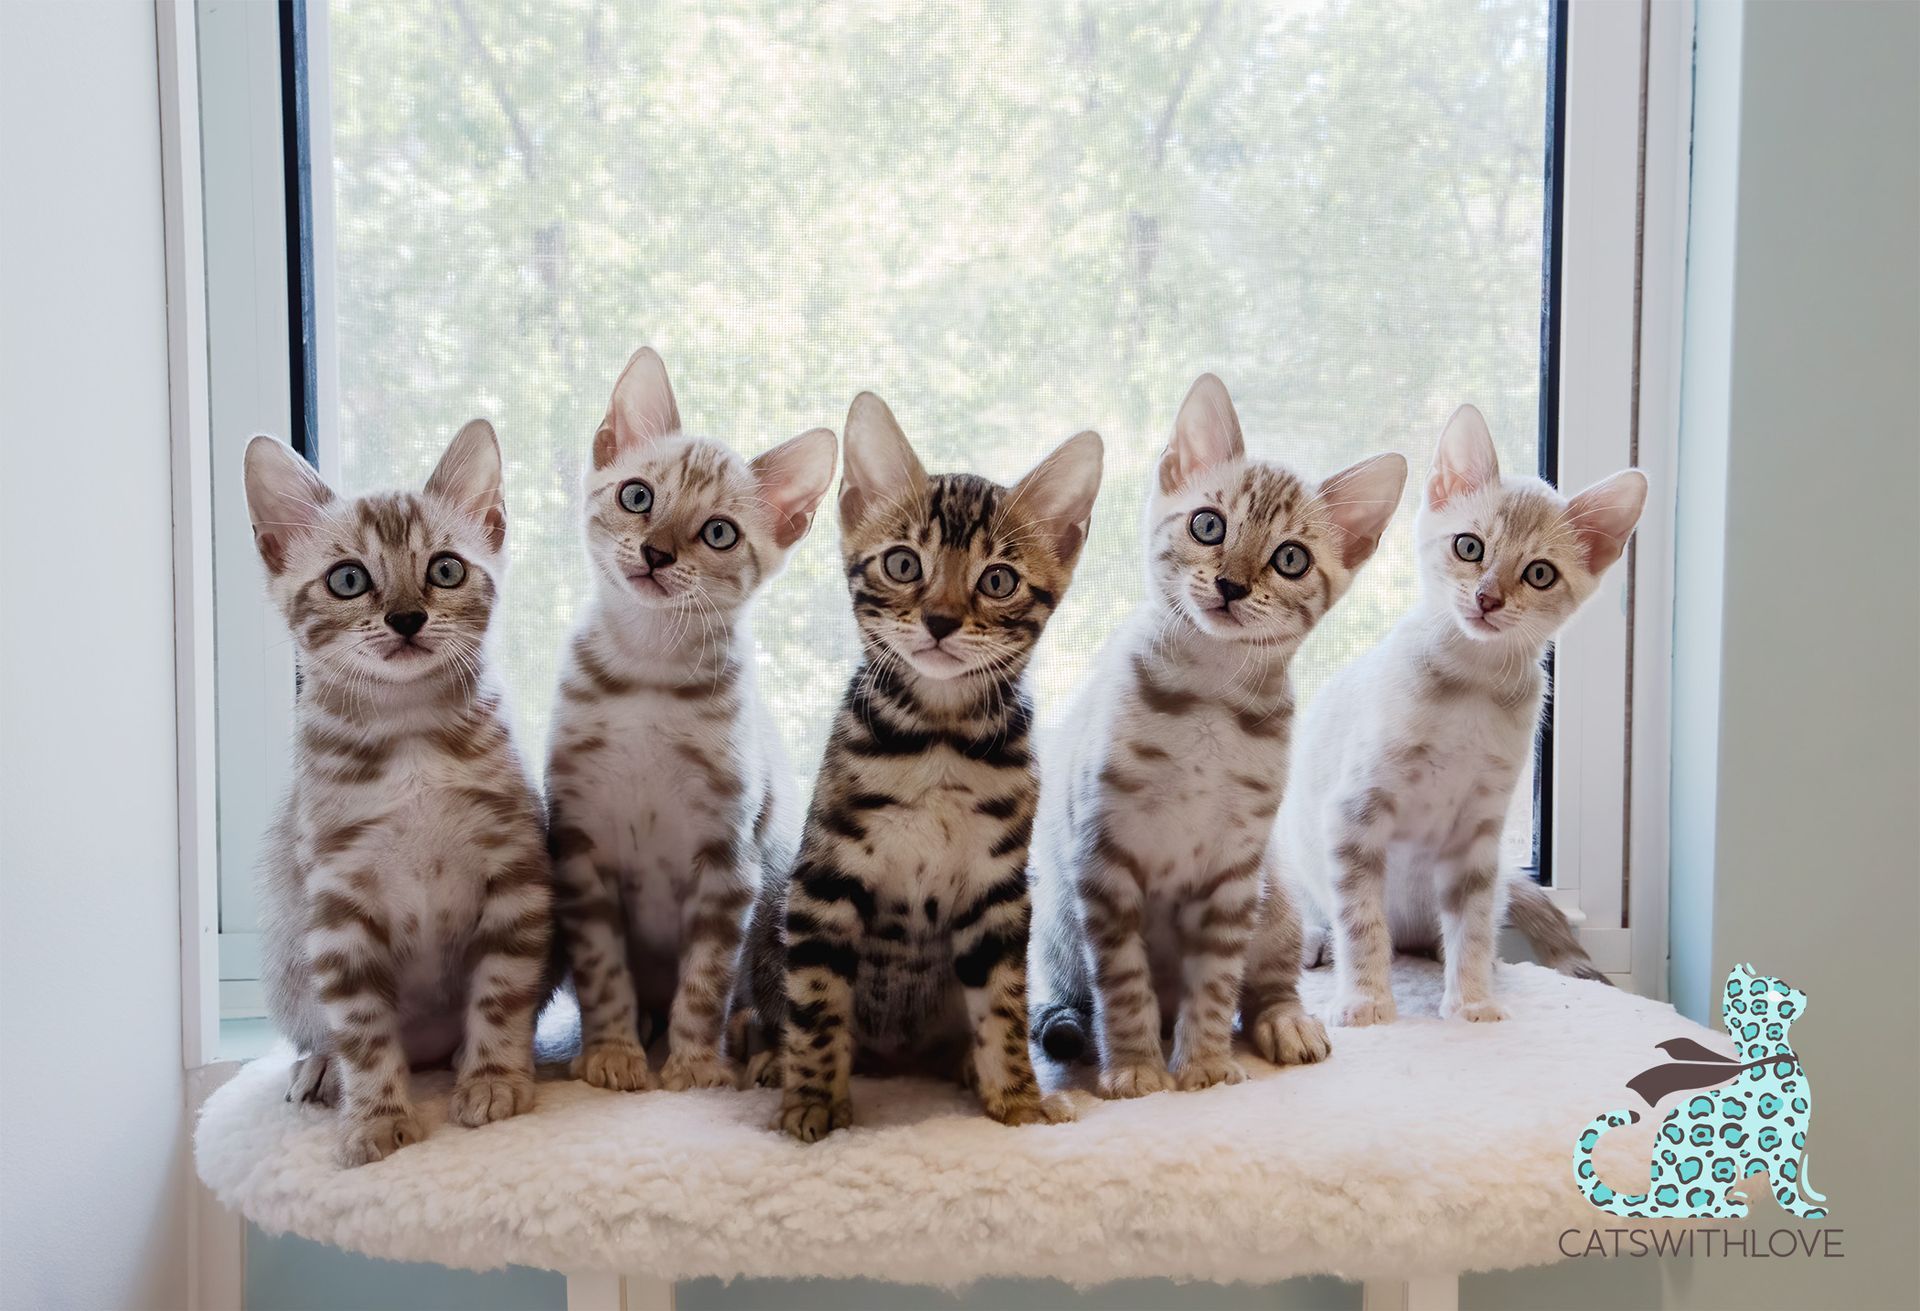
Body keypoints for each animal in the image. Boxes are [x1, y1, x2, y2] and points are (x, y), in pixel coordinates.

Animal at [243, 422, 552, 1167]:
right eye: (348, 579)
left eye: (446, 569)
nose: (407, 617)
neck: (409, 731)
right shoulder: (338, 902)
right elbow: (362, 1028)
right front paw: (377, 1118)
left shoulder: (515, 870)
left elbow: (502, 992)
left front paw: (494, 1079)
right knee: (327, 1032)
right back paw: (322, 1068)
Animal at [545, 349, 837, 1097]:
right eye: (637, 496)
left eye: (719, 532)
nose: (656, 552)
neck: (649, 674)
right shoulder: (581, 848)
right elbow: (602, 971)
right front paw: (614, 1052)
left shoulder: (728, 859)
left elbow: (705, 979)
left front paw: (694, 1064)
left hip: (778, 900)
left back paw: (759, 1053)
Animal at [744, 389, 1113, 1136]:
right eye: (903, 564)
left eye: (998, 580)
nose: (941, 620)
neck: (939, 739)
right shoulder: (824, 879)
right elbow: (817, 1001)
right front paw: (812, 1100)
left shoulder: (999, 892)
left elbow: (1002, 1005)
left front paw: (1017, 1098)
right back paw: (774, 1060)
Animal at [1036, 376, 1413, 1097]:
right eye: (1208, 525)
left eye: (1291, 559)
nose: (1232, 584)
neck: (1208, 695)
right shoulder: (1103, 860)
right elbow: (1122, 982)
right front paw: (1134, 1065)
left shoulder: (1234, 870)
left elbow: (1214, 980)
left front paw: (1206, 1064)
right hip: (1058, 928)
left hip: (1275, 901)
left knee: (1267, 984)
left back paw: (1286, 1022)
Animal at [1274, 405, 1651, 1028]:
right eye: (1470, 547)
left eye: (1540, 574)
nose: (1488, 598)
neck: (1471, 687)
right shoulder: (1354, 814)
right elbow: (1361, 921)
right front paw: (1367, 1002)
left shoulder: (1478, 831)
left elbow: (1470, 925)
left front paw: (1471, 1002)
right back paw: (1313, 938)